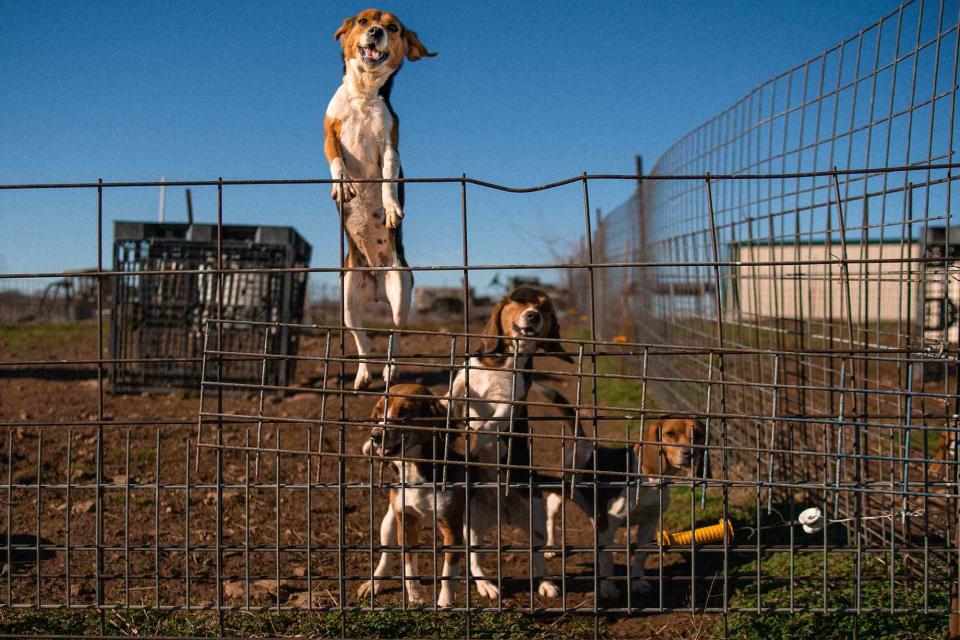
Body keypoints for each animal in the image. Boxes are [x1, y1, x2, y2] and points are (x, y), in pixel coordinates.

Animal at [326, 8, 438, 390]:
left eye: (393, 28)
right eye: (362, 21)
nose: (376, 32)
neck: (364, 94)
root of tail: (375, 278)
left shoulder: (391, 147)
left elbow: (389, 178)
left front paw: (390, 207)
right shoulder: (329, 133)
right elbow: (336, 161)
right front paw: (342, 184)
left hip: (400, 291)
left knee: (394, 336)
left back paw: (390, 371)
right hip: (347, 299)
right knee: (362, 339)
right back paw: (363, 374)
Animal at [358, 382, 466, 608]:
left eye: (405, 412)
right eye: (379, 410)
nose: (375, 436)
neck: (413, 470)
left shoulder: (452, 527)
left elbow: (448, 573)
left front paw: (445, 602)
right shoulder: (406, 523)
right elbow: (408, 565)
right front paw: (415, 596)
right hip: (388, 524)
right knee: (385, 555)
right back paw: (374, 583)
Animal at [448, 288, 568, 604]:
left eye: (545, 307)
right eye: (519, 301)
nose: (534, 316)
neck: (501, 363)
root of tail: (501, 512)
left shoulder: (509, 403)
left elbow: (492, 424)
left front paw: (479, 440)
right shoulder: (464, 383)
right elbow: (453, 396)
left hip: (535, 518)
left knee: (537, 554)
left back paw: (546, 584)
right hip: (470, 523)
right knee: (474, 558)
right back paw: (485, 585)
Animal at [544, 400, 708, 600]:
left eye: (698, 434)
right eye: (670, 433)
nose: (689, 453)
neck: (649, 481)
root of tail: (583, 440)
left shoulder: (649, 524)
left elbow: (640, 556)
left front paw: (638, 583)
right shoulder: (609, 526)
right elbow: (607, 560)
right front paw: (608, 589)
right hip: (563, 493)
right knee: (551, 511)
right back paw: (550, 547)